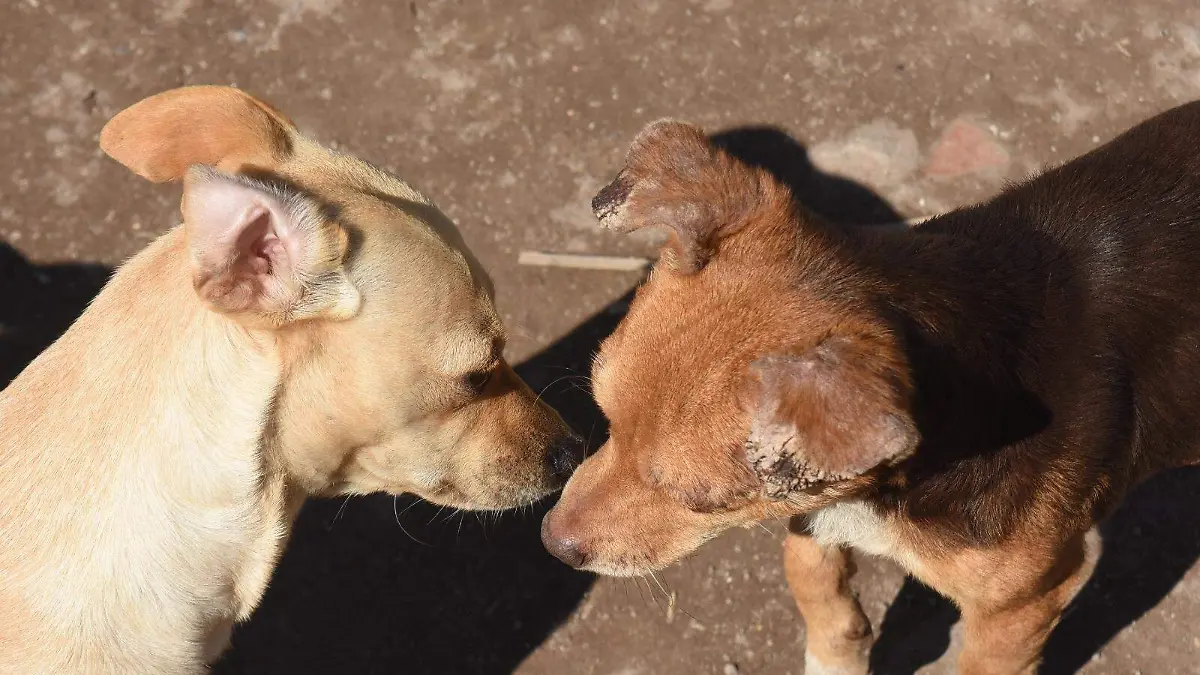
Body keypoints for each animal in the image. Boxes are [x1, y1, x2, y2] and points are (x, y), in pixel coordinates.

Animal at [541, 104, 1200, 675]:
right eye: (604, 416)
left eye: (702, 501)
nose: (552, 543)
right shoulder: (817, 504)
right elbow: (812, 575)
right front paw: (837, 652)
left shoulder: (1027, 600)